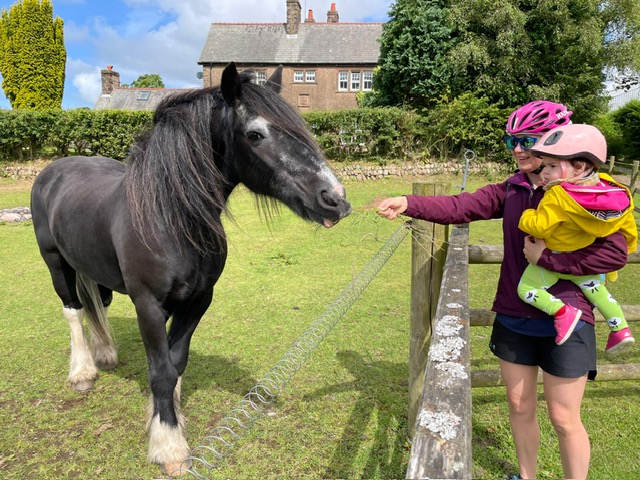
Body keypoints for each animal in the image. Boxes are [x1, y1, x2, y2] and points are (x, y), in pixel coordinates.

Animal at [30, 62, 352, 476]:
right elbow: (162, 370)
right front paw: (169, 446)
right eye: (255, 134)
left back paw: (104, 355)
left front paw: (169, 419)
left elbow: (176, 363)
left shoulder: (198, 301)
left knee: (94, 305)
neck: (170, 218)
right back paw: (83, 372)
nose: (335, 200)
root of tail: (55, 170)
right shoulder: (148, 305)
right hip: (55, 262)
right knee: (72, 309)